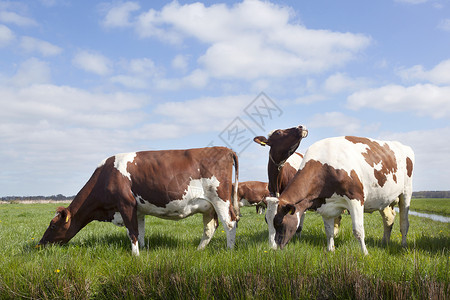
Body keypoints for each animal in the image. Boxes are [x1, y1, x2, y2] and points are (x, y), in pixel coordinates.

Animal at [39, 146, 239, 254]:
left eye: (53, 225)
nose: (39, 244)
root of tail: (226, 150)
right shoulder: (138, 210)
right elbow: (140, 231)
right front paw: (142, 249)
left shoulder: (125, 204)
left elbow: (132, 232)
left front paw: (135, 255)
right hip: (208, 206)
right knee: (210, 228)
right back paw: (199, 250)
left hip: (220, 199)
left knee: (229, 223)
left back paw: (229, 250)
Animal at [268, 137, 414, 255]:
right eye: (266, 221)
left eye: (279, 222)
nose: (272, 248)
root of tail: (404, 146)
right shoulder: (325, 205)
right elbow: (329, 231)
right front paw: (330, 250)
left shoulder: (356, 199)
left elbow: (358, 230)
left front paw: (365, 253)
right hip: (384, 199)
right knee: (388, 219)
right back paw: (385, 242)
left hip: (406, 192)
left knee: (404, 223)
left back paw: (403, 245)